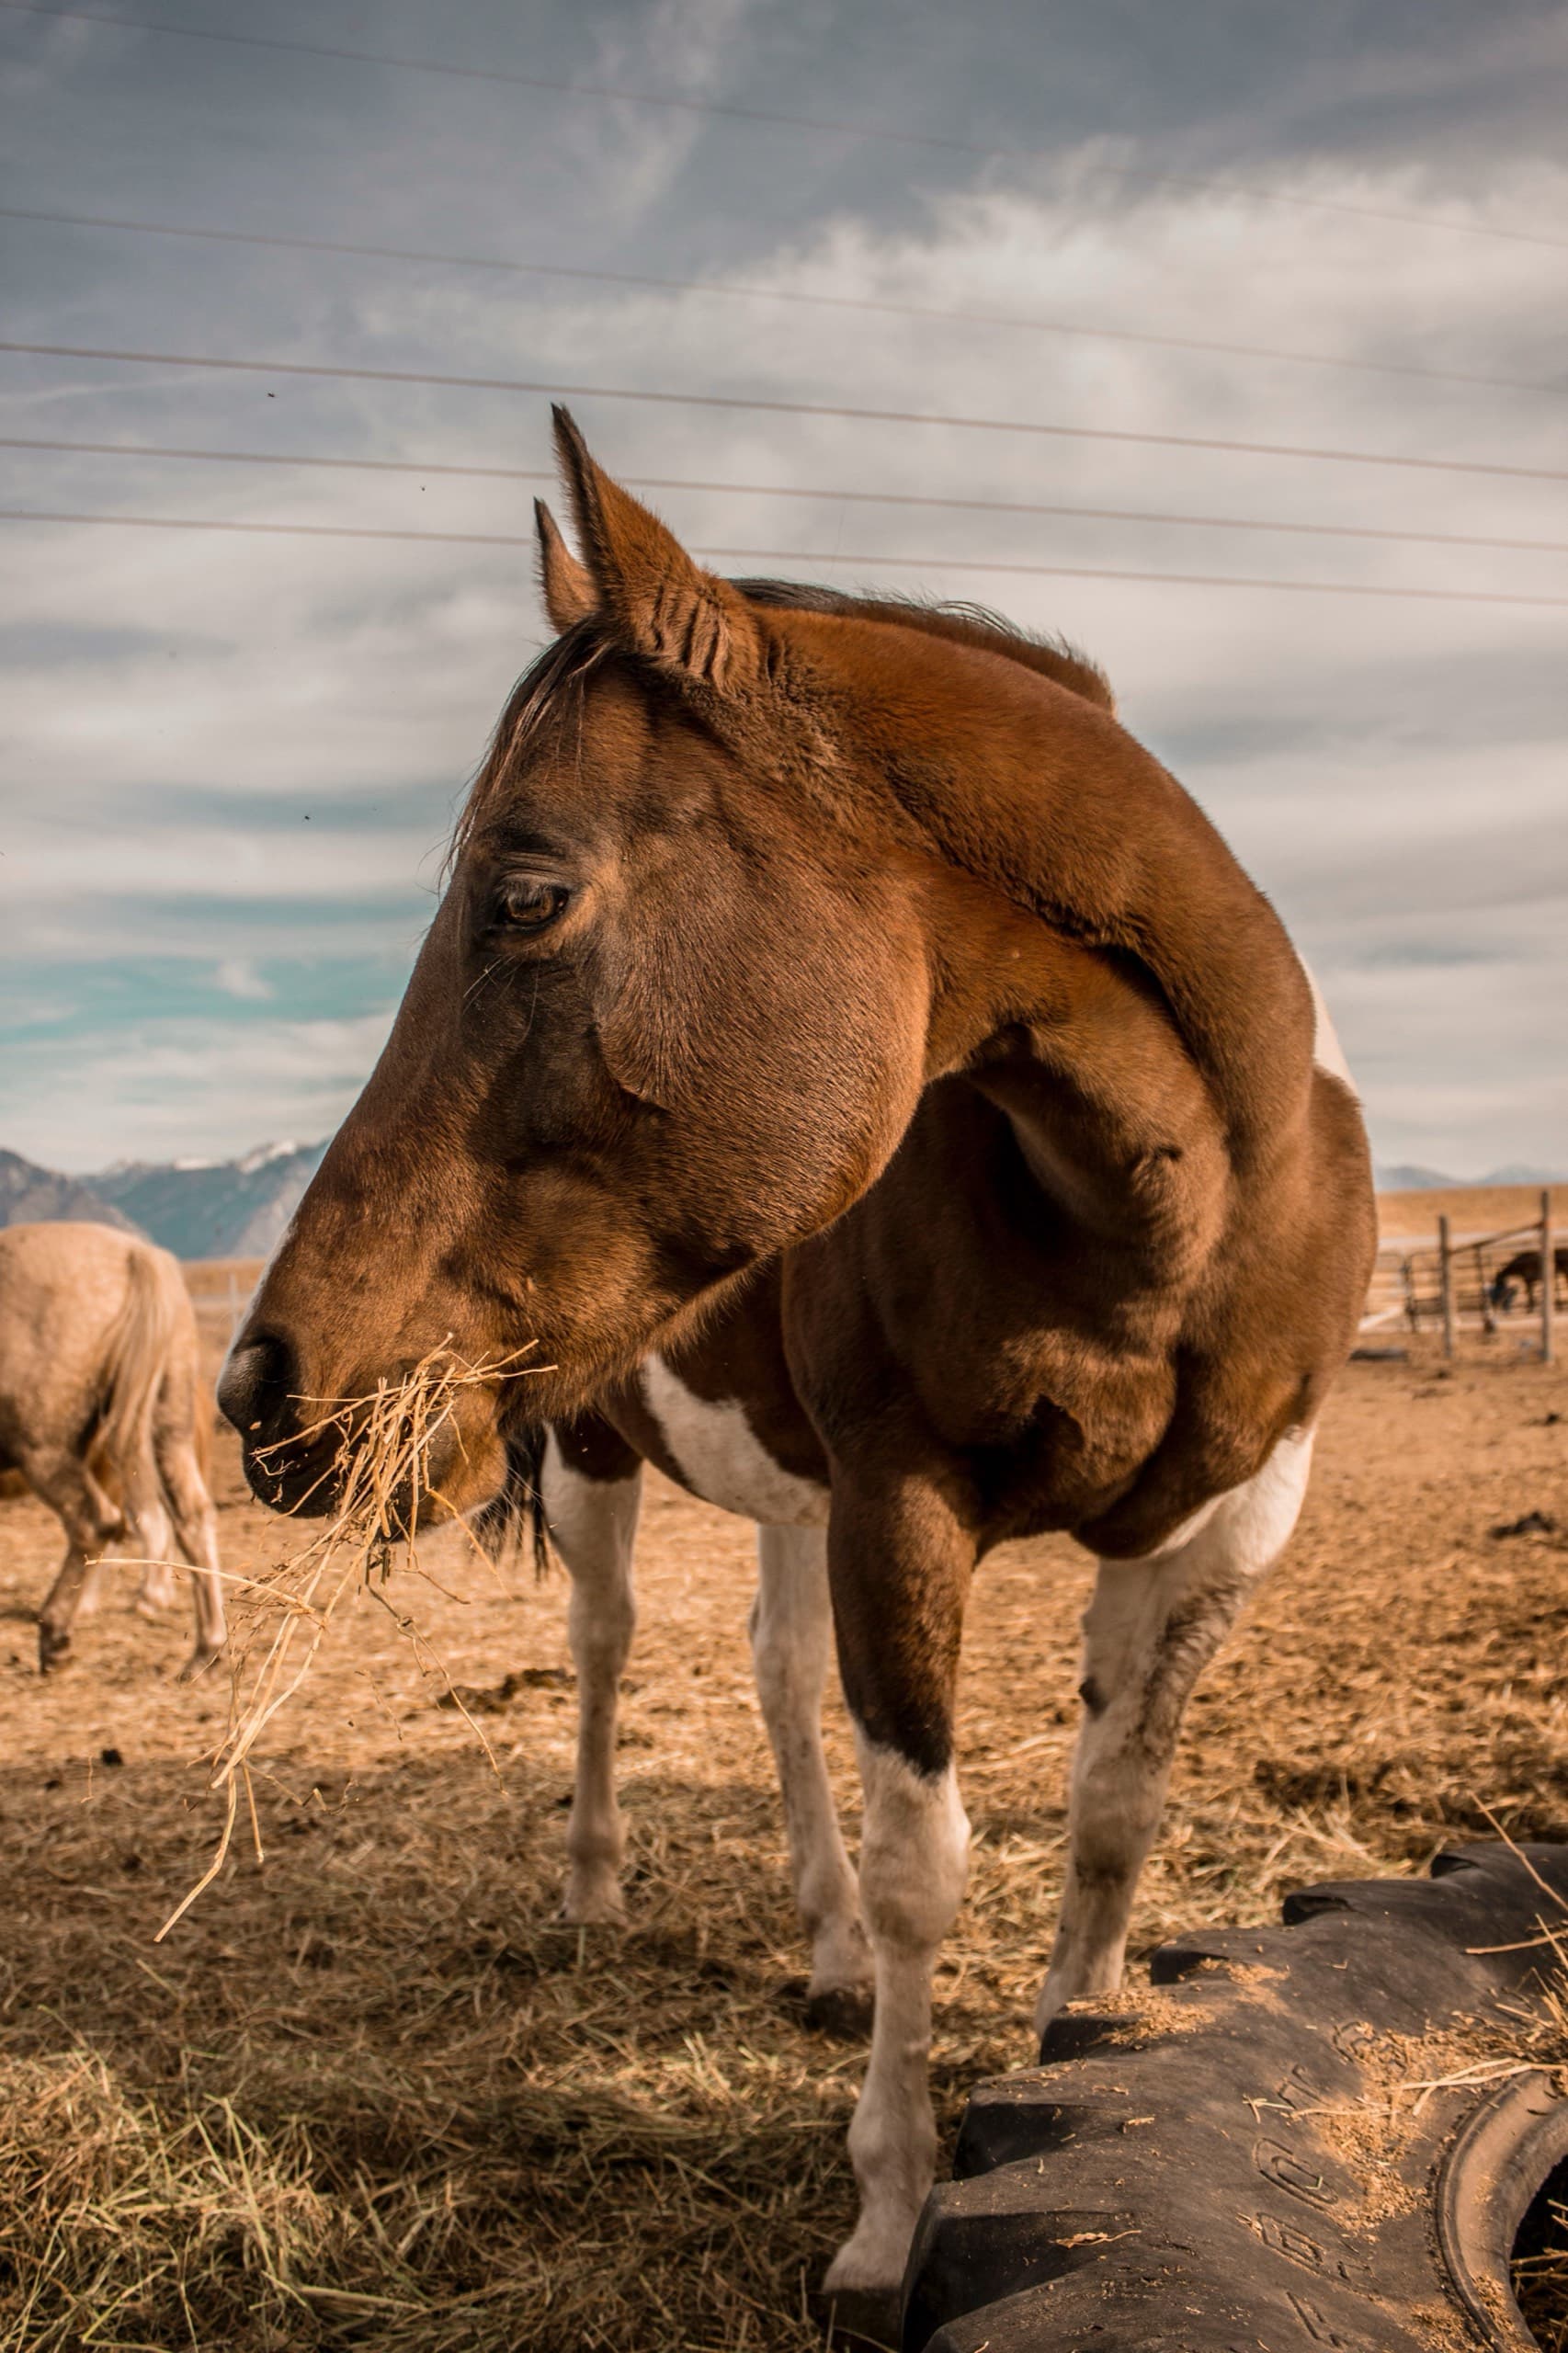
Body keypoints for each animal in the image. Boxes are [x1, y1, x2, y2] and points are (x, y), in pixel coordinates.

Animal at [0, 1222, 227, 1676]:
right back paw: (207, 1648)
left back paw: (57, 1634)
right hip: (166, 1430)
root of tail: (136, 1257)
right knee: (191, 1517)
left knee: (97, 1522)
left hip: (44, 1449)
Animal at [219, 409, 1376, 2315]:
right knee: (610, 1655)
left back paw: (818, 1949)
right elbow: (928, 1869)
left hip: (789, 1493)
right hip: (603, 1465)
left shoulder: (1223, 1524)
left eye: (523, 894)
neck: (1175, 1209)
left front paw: (1076, 2070)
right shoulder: (901, 1505)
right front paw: (890, 2221)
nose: (261, 1389)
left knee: (772, 1683)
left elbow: (1112, 1815)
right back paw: (599, 1889)